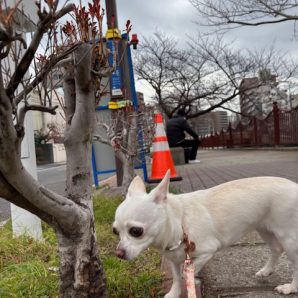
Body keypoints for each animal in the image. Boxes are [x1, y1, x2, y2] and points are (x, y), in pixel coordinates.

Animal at [113, 170, 298, 298]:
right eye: (115, 231)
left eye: (136, 231)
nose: (118, 253)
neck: (179, 223)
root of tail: (295, 185)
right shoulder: (173, 259)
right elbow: (176, 277)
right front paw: (173, 293)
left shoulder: (207, 252)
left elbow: (185, 273)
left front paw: (192, 280)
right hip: (264, 228)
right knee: (276, 248)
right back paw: (266, 271)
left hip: (288, 238)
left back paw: (290, 288)